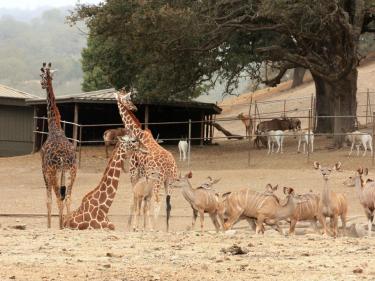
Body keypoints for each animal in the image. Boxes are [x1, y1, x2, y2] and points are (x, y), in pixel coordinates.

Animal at [114, 89, 179, 230]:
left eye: (128, 98)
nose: (134, 108)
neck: (139, 134)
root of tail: (170, 167)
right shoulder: (145, 176)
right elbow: (144, 203)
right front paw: (140, 225)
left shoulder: (134, 171)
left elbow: (135, 199)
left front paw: (132, 225)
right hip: (170, 182)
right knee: (168, 204)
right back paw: (166, 229)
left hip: (158, 180)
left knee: (157, 201)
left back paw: (154, 227)